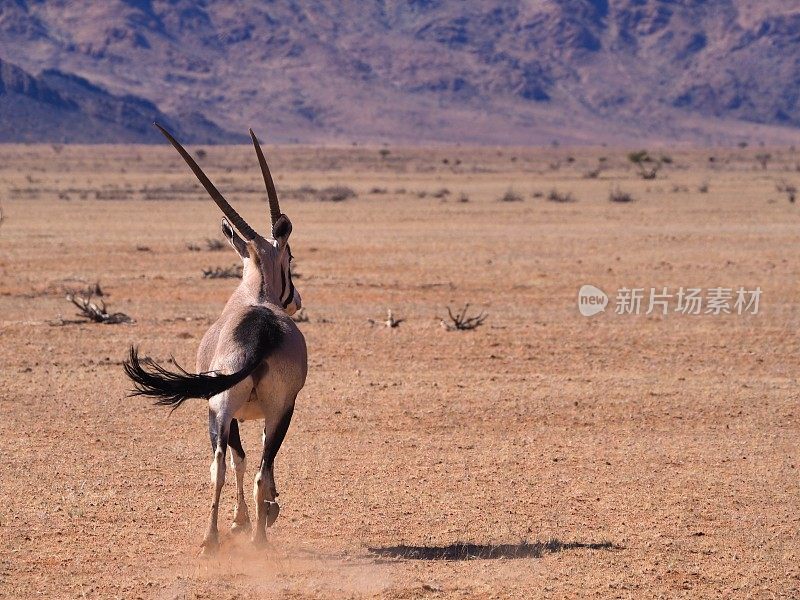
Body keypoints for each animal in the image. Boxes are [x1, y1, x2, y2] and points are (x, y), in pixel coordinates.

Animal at [123, 123, 308, 552]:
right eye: (290, 257)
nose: (296, 300)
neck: (255, 294)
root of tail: (260, 332)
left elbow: (241, 462)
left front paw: (250, 518)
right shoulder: (255, 413)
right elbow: (248, 462)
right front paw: (255, 516)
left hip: (230, 408)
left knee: (226, 464)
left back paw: (222, 538)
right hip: (260, 409)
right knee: (246, 465)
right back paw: (247, 537)